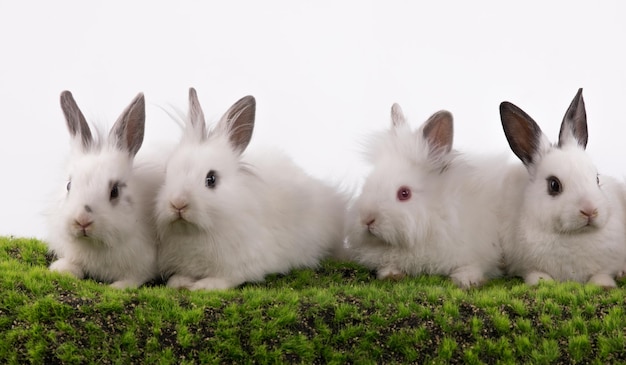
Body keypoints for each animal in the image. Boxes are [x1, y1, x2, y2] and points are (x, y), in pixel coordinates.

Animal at [45, 90, 162, 288]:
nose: (82, 221)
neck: (96, 244)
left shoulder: (143, 263)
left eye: (114, 191)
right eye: (69, 185)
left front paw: (118, 287)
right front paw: (61, 269)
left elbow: (134, 278)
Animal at [152, 88, 346, 290]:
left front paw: (203, 286)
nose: (177, 203)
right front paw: (178, 282)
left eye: (211, 179)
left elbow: (227, 278)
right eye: (167, 173)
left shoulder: (245, 263)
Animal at [344, 103, 510, 288]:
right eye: (366, 184)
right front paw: (391, 274)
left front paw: (466, 281)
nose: (367, 220)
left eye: (404, 193)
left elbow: (472, 265)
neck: (437, 215)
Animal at [498, 88, 624, 288]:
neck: (575, 236)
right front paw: (541, 284)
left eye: (596, 178)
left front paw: (604, 285)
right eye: (554, 185)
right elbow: (536, 276)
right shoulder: (527, 266)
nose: (590, 211)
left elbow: (601, 275)